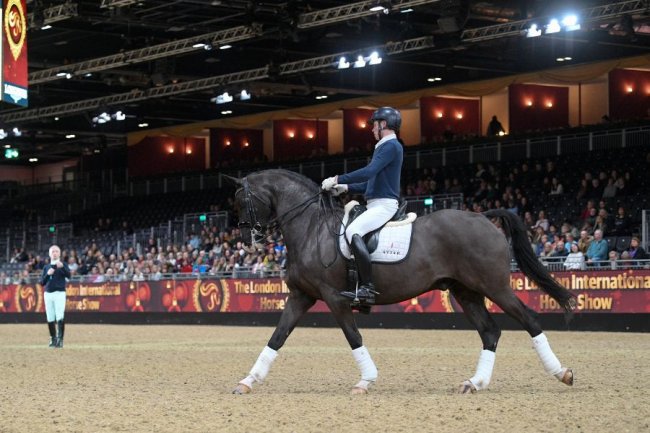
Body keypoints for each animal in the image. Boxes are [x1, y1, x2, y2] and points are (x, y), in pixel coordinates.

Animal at [227, 169, 576, 395]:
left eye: (242, 201)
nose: (246, 240)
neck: (312, 228)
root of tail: (483, 217)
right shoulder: (301, 296)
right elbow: (277, 337)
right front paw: (248, 380)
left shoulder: (335, 298)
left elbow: (353, 337)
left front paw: (366, 381)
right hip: (466, 292)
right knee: (490, 331)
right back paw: (474, 383)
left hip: (495, 287)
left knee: (529, 320)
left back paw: (562, 373)